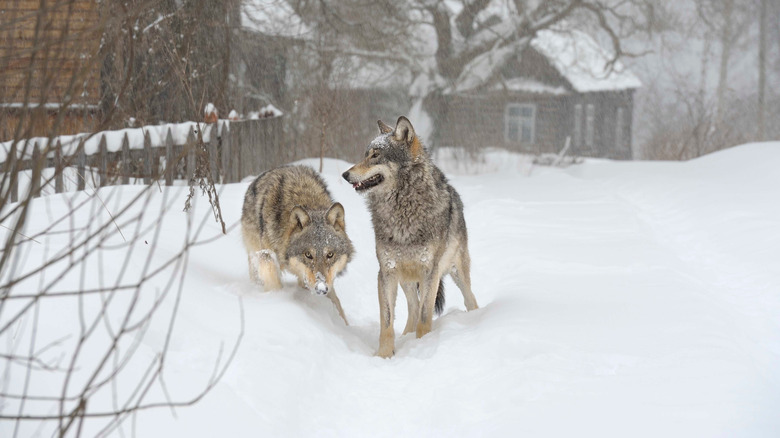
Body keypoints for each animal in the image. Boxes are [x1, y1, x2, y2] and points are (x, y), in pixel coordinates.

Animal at [242, 166, 354, 324]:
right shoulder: (267, 258)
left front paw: (343, 326)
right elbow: (274, 285)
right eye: (308, 254)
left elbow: (337, 303)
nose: (321, 289)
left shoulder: (326, 280)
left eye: (330, 254)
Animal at [342, 117, 478, 360]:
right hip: (406, 279)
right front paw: (384, 355)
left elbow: (425, 317)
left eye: (375, 155)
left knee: (468, 299)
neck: (402, 210)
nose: (345, 175)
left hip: (456, 272)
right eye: (366, 154)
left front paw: (423, 347)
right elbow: (387, 321)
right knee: (413, 309)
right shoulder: (386, 271)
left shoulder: (430, 271)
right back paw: (406, 337)